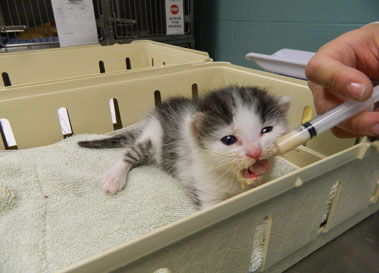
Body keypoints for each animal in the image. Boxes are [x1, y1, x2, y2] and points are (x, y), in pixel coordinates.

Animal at [78, 85, 290, 208]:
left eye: (267, 130)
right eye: (229, 140)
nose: (255, 151)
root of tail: (156, 114)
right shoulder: (207, 195)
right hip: (152, 139)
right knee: (129, 155)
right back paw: (114, 178)